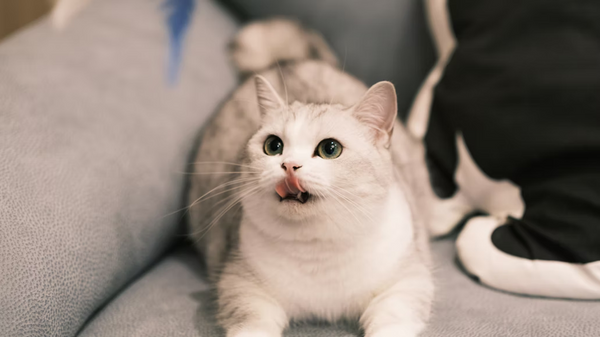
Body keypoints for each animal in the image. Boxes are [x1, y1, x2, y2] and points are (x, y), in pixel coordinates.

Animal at [188, 19, 432, 336]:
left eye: (330, 149)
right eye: (273, 146)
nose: (289, 165)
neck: (317, 249)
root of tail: (286, 61)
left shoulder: (407, 282)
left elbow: (392, 318)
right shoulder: (240, 284)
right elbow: (253, 322)